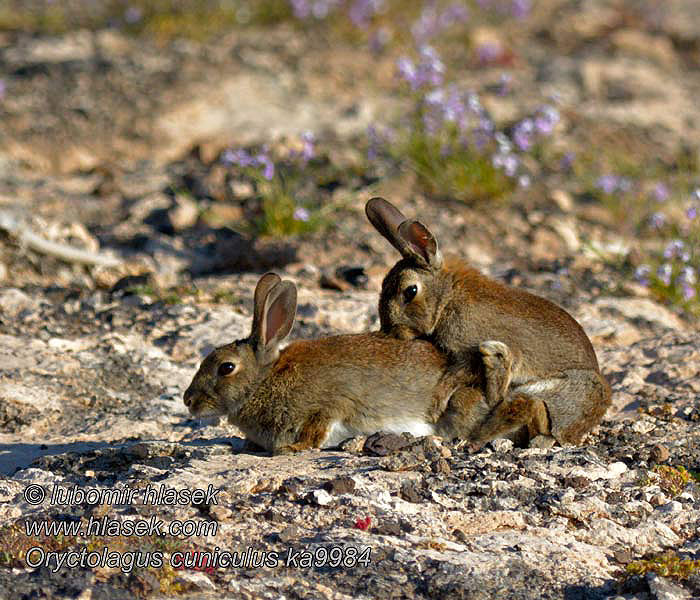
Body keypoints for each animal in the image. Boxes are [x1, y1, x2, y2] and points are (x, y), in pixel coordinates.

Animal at [183, 274, 516, 454]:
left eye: (226, 367)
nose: (188, 400)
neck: (263, 382)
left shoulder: (326, 405)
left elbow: (317, 429)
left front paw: (292, 448)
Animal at [364, 197, 608, 446]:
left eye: (410, 291)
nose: (390, 331)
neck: (448, 298)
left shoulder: (466, 351)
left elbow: (454, 377)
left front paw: (437, 402)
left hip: (559, 390)